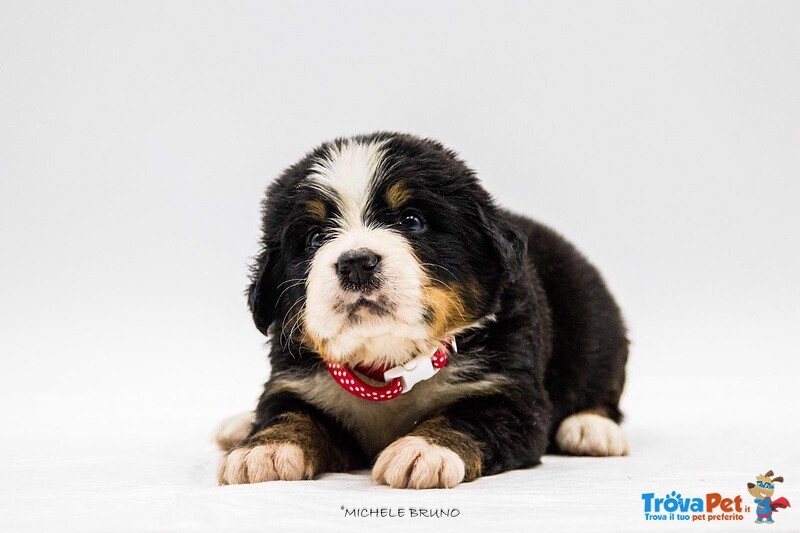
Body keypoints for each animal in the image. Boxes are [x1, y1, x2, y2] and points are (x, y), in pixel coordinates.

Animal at [216, 132, 628, 486]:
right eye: (315, 237)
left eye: (412, 221)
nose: (356, 263)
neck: (387, 366)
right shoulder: (295, 383)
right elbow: (289, 414)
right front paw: (264, 449)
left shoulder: (510, 396)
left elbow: (466, 418)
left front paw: (422, 450)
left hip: (597, 326)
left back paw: (591, 428)